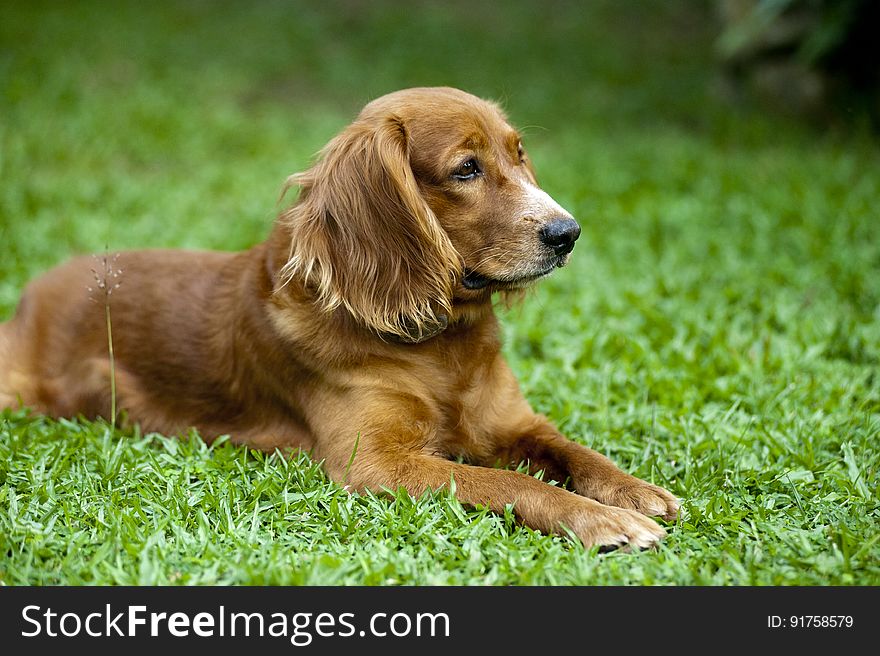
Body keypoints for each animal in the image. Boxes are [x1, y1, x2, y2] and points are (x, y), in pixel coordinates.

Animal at [0, 86, 680, 548]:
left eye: (519, 156)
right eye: (466, 168)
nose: (567, 233)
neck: (439, 344)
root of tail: (34, 292)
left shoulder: (513, 423)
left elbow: (575, 452)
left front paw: (635, 491)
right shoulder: (376, 464)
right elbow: (513, 485)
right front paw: (602, 520)